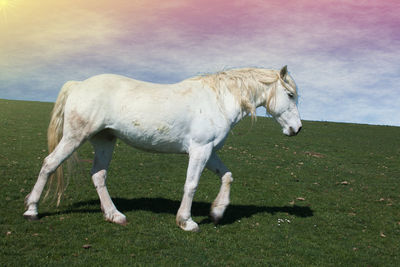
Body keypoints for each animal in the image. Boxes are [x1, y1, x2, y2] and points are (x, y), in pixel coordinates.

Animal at [23, 66, 302, 232]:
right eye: (290, 95)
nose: (297, 129)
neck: (219, 100)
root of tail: (79, 84)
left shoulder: (209, 152)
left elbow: (227, 176)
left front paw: (217, 212)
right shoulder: (200, 151)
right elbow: (191, 185)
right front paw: (186, 221)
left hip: (104, 140)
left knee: (98, 176)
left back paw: (114, 215)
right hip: (74, 137)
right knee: (49, 164)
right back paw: (31, 209)